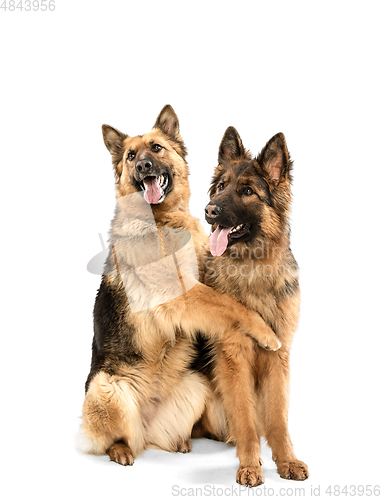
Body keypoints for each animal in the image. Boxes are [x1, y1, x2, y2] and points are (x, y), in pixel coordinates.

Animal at [200, 127, 310, 486]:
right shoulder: (234, 357)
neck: (253, 269)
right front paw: (250, 465)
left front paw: (286, 460)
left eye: (247, 191)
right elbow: (246, 419)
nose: (209, 210)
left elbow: (277, 416)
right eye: (220, 187)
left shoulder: (278, 355)